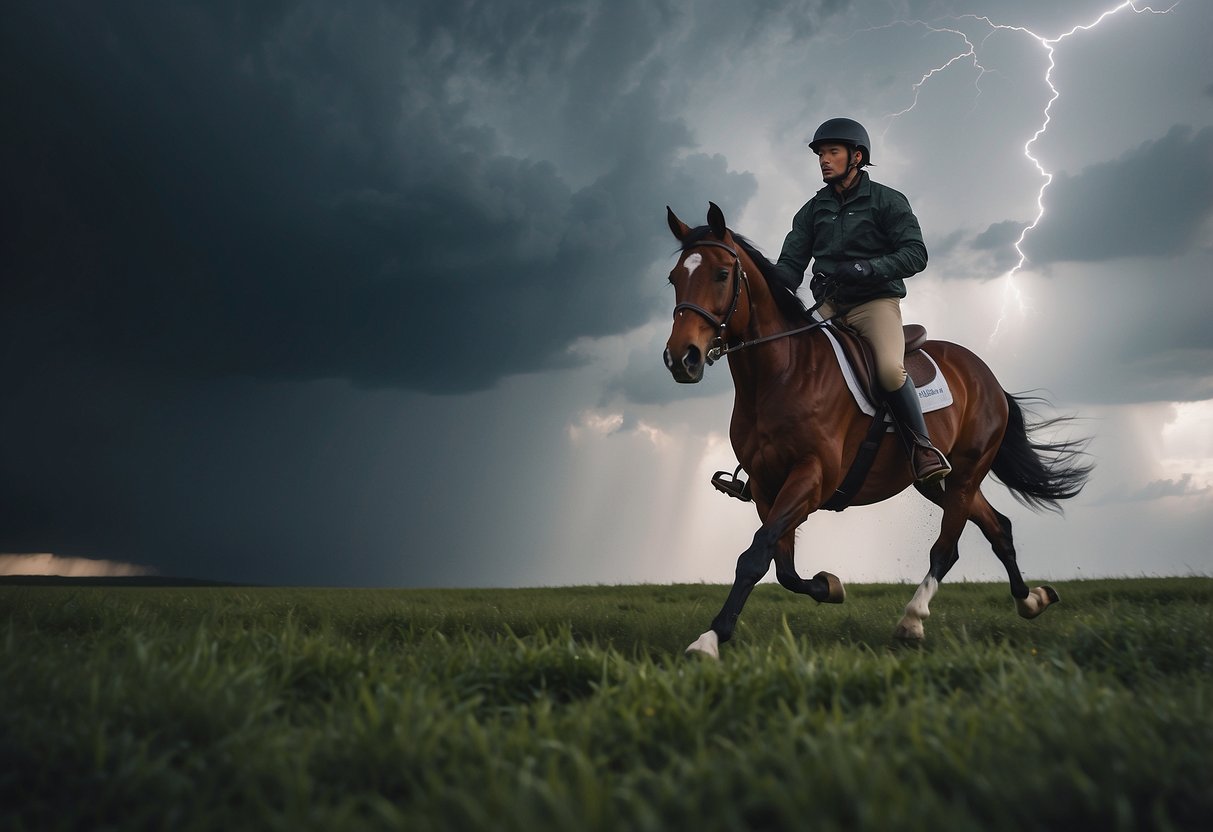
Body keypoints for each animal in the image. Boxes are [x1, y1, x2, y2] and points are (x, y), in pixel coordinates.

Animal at [664, 202, 1091, 659]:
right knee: (999, 528)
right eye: (674, 278)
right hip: (937, 483)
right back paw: (1032, 600)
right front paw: (830, 586)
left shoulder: (812, 477)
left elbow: (755, 556)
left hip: (966, 473)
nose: (681, 357)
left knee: (947, 549)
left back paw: (913, 621)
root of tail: (986, 376)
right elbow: (783, 568)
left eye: (722, 274)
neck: (781, 375)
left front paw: (711, 638)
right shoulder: (766, 486)